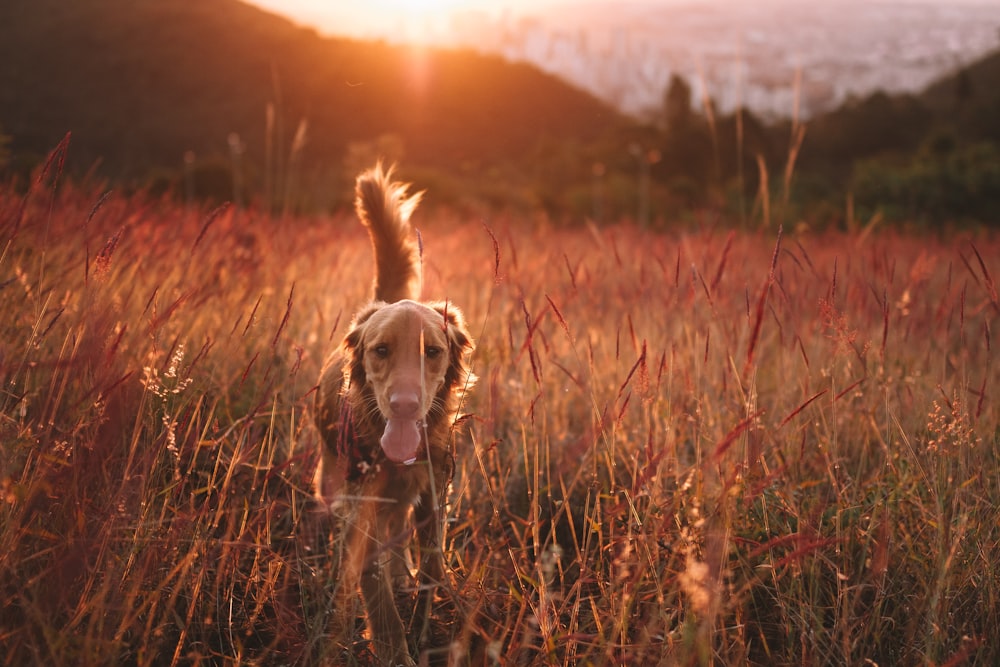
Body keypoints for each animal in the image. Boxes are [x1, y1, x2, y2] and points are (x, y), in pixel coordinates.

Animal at [314, 163, 474, 667]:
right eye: (381, 350)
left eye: (432, 352)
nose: (404, 403)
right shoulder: (359, 503)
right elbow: (374, 589)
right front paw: (393, 648)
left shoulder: (434, 490)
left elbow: (432, 563)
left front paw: (429, 609)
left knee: (400, 533)